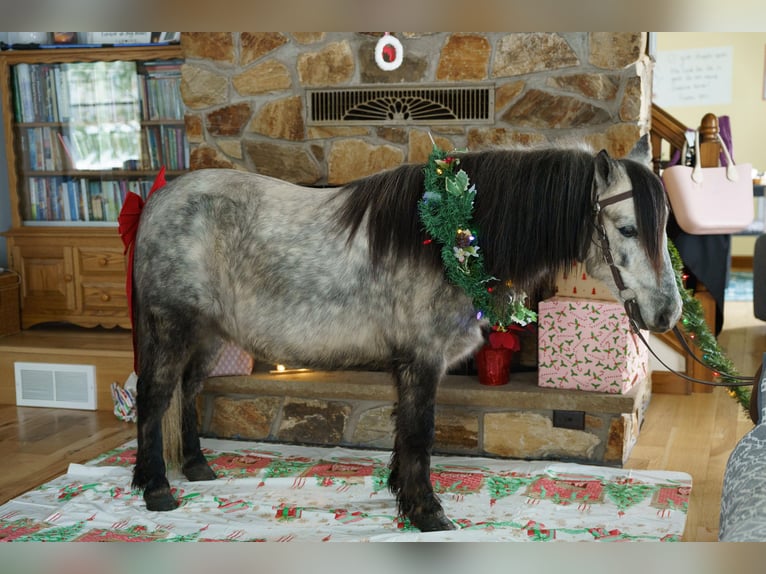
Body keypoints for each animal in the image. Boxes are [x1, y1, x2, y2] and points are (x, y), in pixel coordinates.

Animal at [129, 135, 682, 531]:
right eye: (628, 229)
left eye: (664, 227)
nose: (667, 313)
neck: (448, 237)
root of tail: (160, 200)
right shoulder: (422, 359)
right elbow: (420, 432)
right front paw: (427, 512)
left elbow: (404, 432)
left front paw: (404, 495)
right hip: (174, 326)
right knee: (155, 396)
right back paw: (157, 489)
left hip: (209, 333)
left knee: (189, 389)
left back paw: (196, 467)